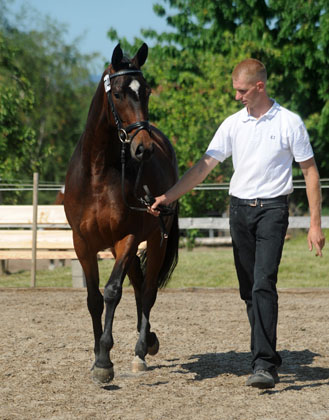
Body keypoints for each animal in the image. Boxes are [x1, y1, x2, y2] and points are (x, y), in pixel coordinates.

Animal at [62, 42, 178, 384]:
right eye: (117, 93)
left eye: (147, 91)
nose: (144, 148)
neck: (97, 172)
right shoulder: (83, 243)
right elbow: (93, 299)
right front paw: (96, 358)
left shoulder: (127, 237)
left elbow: (112, 292)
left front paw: (104, 359)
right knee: (139, 283)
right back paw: (147, 342)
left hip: (155, 240)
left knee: (148, 290)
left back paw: (141, 350)